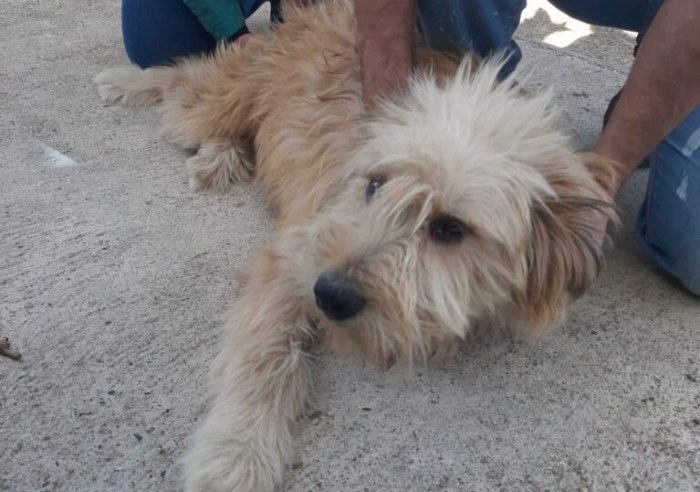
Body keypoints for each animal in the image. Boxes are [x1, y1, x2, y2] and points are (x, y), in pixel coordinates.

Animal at [96, 1, 618, 490]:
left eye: (449, 229)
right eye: (374, 184)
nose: (329, 294)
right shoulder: (291, 259)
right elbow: (266, 353)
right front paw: (237, 452)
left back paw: (221, 155)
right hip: (219, 99)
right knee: (184, 83)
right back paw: (133, 85)